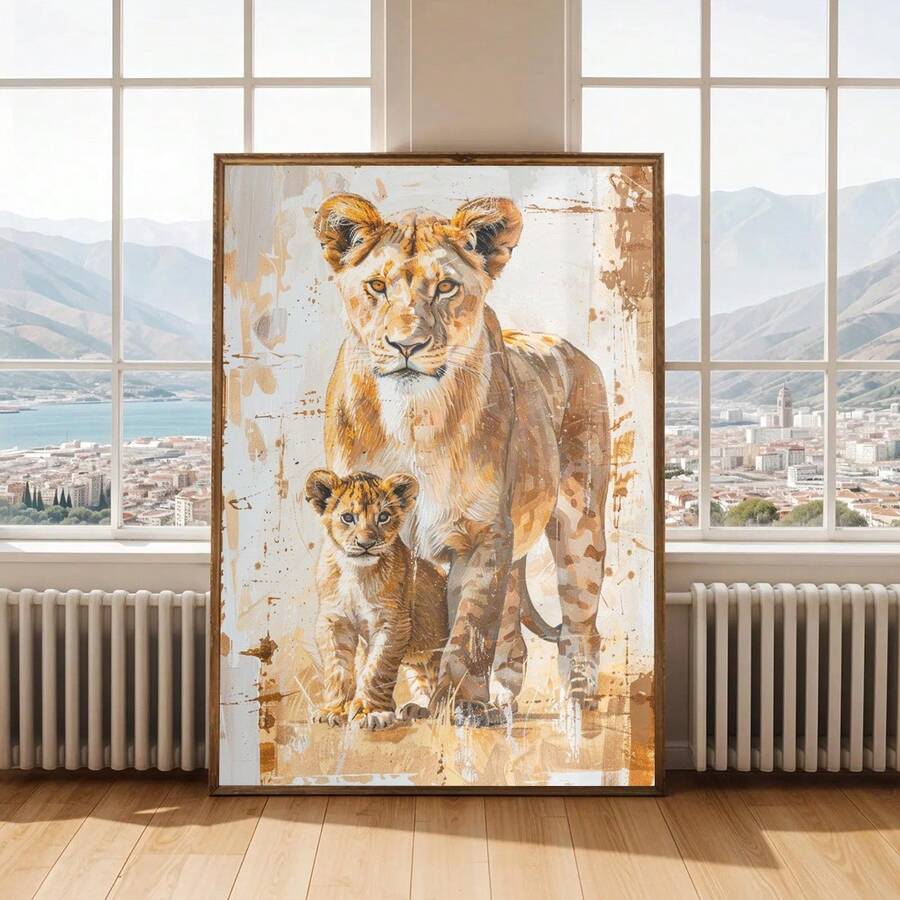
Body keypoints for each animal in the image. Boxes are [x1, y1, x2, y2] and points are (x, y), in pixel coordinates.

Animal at [313, 192, 610, 724]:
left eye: (446, 287)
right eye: (377, 286)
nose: (406, 345)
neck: (413, 418)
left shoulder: (482, 534)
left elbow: (470, 629)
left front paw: (460, 705)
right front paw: (391, 705)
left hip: (580, 525)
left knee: (580, 624)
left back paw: (574, 701)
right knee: (514, 638)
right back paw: (504, 704)